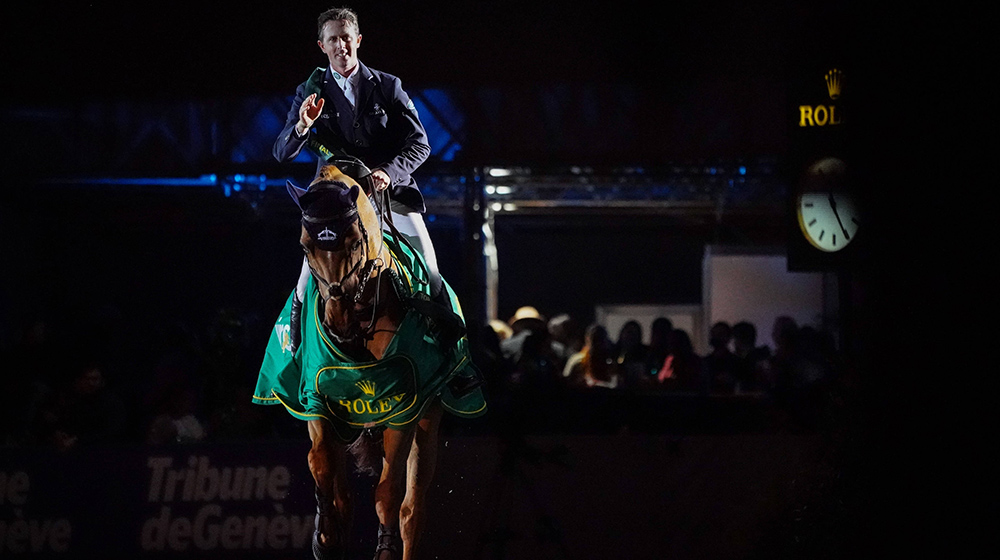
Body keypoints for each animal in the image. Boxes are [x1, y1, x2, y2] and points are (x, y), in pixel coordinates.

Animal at [250, 163, 484, 560]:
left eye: (355, 242)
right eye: (305, 246)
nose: (338, 322)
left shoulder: (403, 406)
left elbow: (388, 491)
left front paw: (383, 548)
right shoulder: (319, 401)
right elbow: (321, 465)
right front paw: (324, 535)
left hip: (429, 417)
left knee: (411, 508)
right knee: (346, 494)